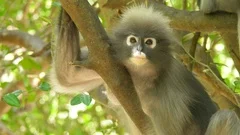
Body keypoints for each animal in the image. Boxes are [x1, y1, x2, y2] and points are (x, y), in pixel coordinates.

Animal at [50, 1, 240, 135]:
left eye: (149, 42)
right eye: (133, 40)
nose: (139, 50)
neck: (142, 78)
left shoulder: (170, 92)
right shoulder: (107, 62)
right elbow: (68, 75)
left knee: (226, 117)